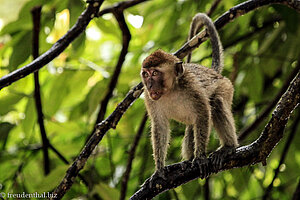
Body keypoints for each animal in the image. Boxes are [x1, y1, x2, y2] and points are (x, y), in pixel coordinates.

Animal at [141, 13, 239, 177]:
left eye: (154, 73)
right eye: (146, 74)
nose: (149, 85)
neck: (170, 90)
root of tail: (214, 72)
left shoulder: (192, 87)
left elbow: (203, 113)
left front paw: (200, 158)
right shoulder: (149, 98)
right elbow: (160, 125)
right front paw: (159, 169)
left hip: (226, 87)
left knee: (217, 102)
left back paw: (229, 147)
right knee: (191, 127)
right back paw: (188, 160)